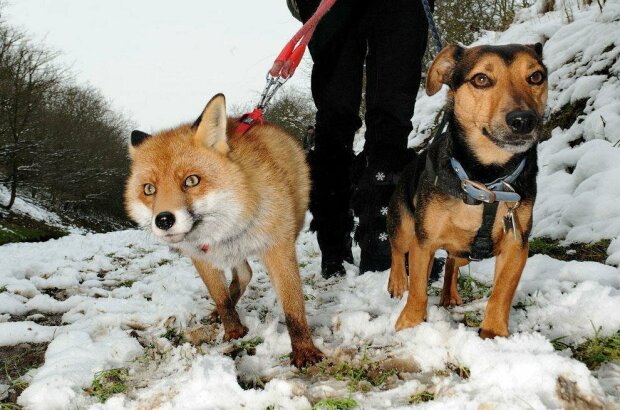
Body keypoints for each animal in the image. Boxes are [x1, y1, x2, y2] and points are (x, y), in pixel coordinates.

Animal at [127, 93, 330, 368]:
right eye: (149, 189)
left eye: (191, 181)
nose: (164, 220)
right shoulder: (201, 257)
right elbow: (221, 298)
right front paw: (233, 331)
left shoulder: (278, 247)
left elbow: (293, 307)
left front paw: (304, 350)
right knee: (244, 274)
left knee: (246, 274)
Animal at [388, 44, 548, 340]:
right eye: (481, 79)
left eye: (535, 77)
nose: (523, 120)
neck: (486, 179)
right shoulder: (424, 241)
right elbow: (417, 289)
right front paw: (410, 325)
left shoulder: (516, 244)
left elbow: (501, 294)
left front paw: (493, 333)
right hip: (403, 224)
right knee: (397, 250)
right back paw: (396, 282)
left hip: (464, 253)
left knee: (452, 262)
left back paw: (449, 294)